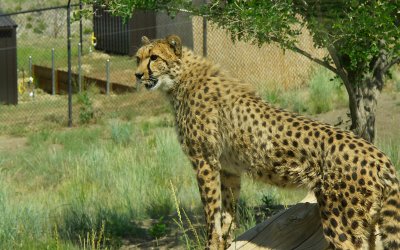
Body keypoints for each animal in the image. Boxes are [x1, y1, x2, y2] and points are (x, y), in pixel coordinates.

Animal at [135, 34, 400, 249]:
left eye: (154, 57)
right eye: (137, 58)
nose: (137, 75)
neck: (180, 79)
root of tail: (380, 156)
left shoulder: (204, 162)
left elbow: (211, 211)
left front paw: (211, 243)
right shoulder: (229, 169)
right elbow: (227, 211)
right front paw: (225, 241)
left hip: (341, 220)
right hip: (368, 222)